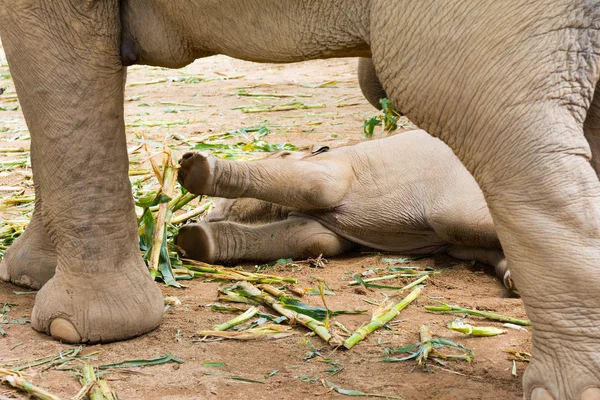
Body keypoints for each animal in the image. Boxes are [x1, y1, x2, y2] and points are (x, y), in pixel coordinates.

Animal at [176, 131, 512, 290]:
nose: (205, 215)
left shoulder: (335, 166)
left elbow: (319, 187)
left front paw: (192, 168)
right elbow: (315, 239)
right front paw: (193, 241)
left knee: (457, 221)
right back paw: (510, 276)